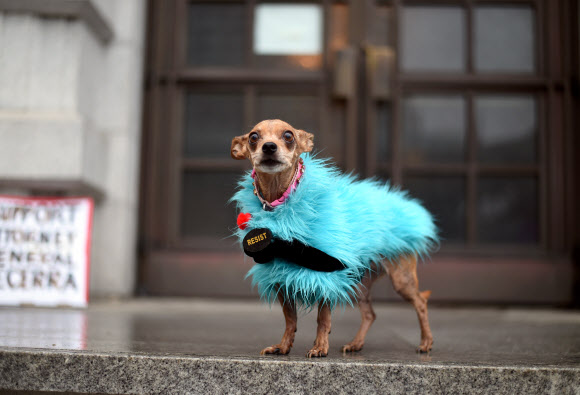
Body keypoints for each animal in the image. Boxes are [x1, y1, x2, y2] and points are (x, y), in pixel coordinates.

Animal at [229, 119, 432, 358]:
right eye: (253, 137)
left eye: (288, 136)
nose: (269, 146)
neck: (281, 204)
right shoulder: (281, 277)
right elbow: (290, 319)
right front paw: (283, 346)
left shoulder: (327, 276)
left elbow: (322, 318)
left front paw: (319, 347)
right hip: (357, 281)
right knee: (370, 313)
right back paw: (356, 343)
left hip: (401, 279)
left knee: (420, 302)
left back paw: (426, 342)